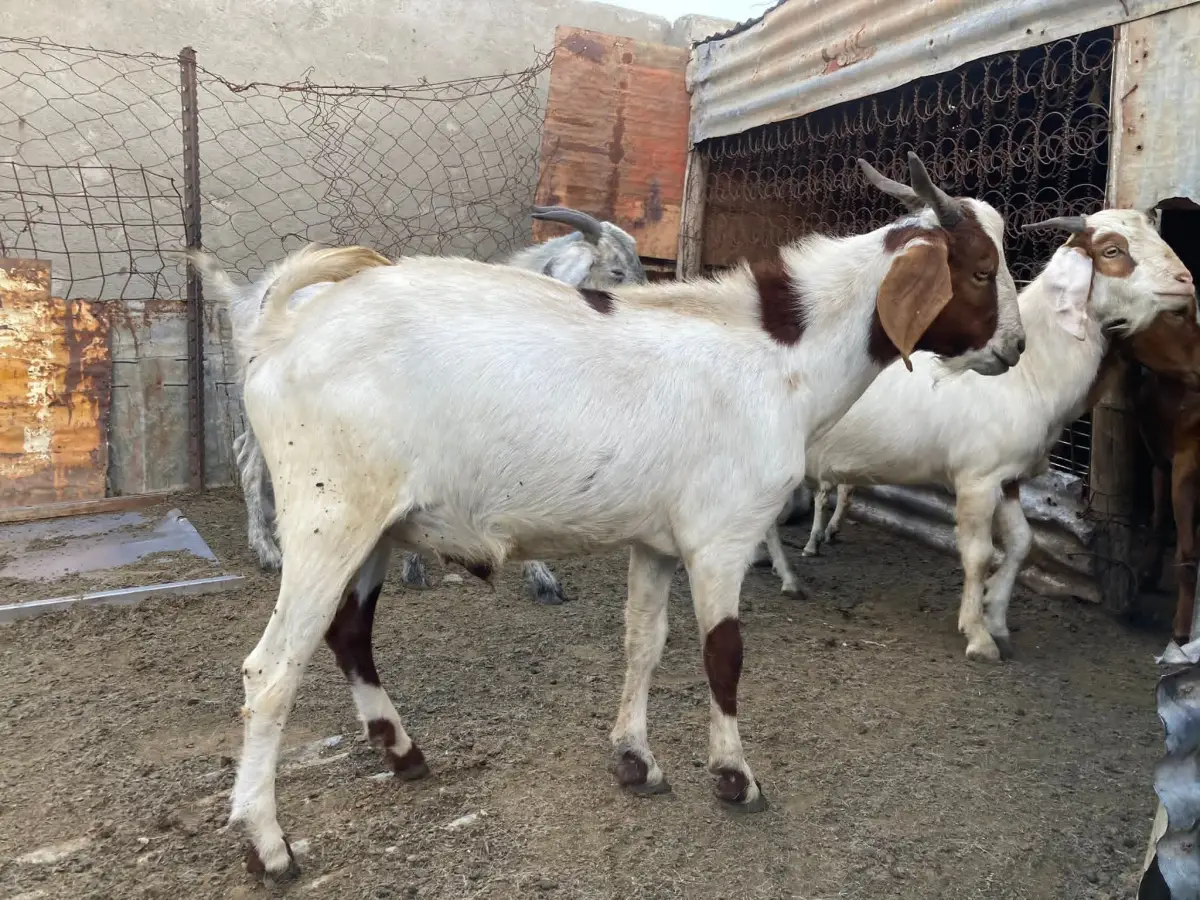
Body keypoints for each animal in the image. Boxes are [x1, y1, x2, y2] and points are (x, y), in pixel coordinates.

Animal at [759, 210, 1195, 662]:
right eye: (1112, 251)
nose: (1185, 280)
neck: (1032, 373)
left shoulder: (1009, 477)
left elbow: (1021, 543)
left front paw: (997, 616)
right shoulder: (977, 479)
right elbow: (979, 553)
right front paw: (978, 635)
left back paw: (785, 575)